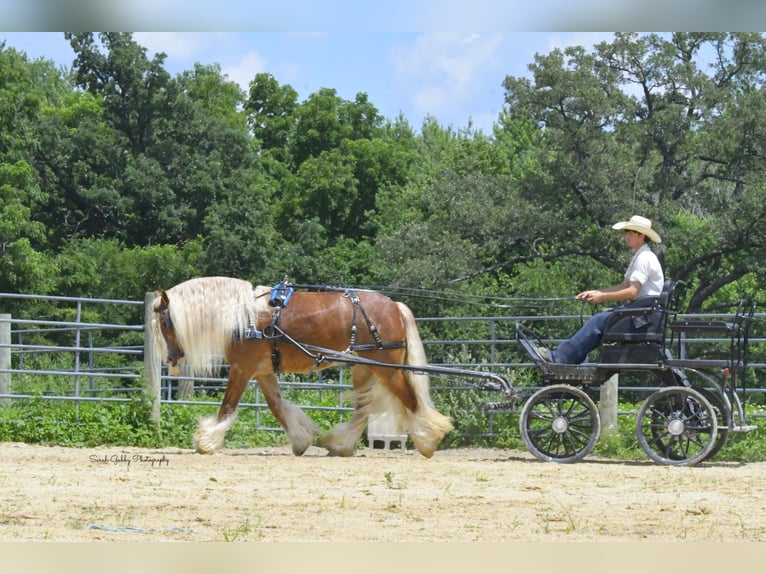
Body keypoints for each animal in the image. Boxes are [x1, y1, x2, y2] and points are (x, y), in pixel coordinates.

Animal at [151, 276, 453, 458]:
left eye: (165, 322)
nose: (170, 360)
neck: (243, 317)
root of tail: (395, 305)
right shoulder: (263, 371)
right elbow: (277, 407)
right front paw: (301, 439)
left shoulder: (241, 368)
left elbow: (228, 406)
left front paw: (207, 441)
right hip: (363, 368)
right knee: (363, 409)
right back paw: (340, 444)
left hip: (386, 368)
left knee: (409, 400)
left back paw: (428, 439)